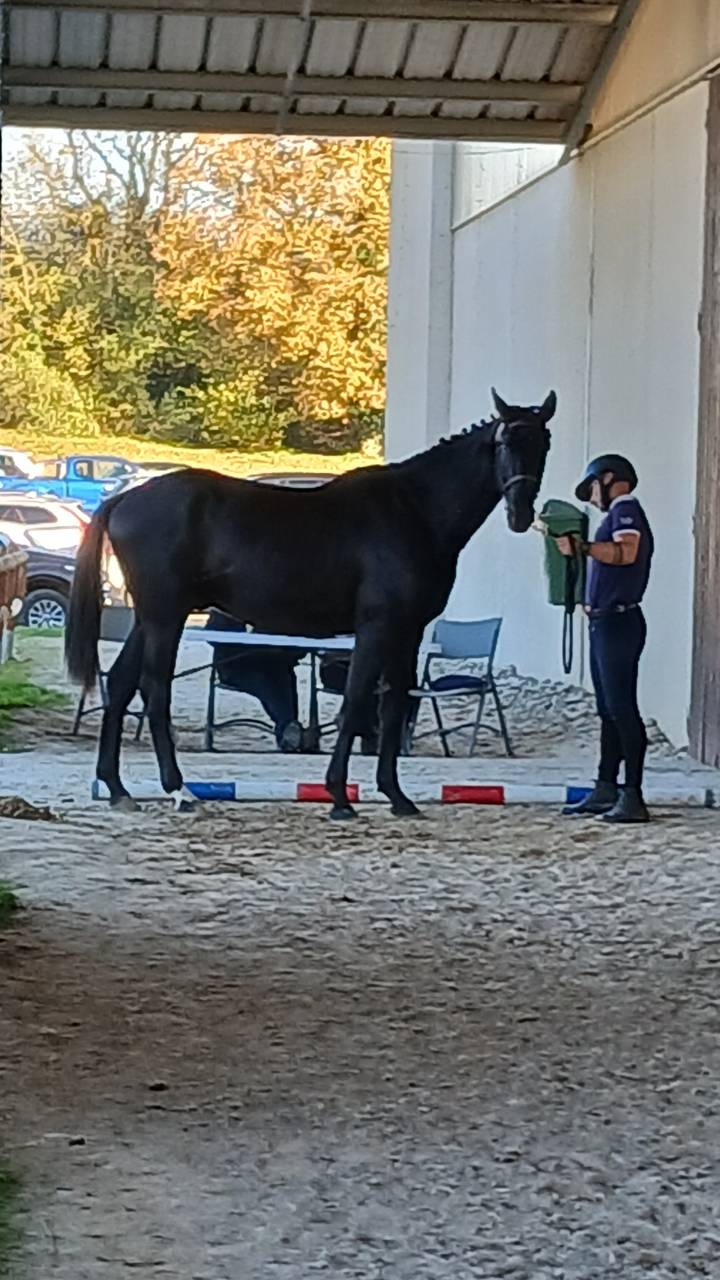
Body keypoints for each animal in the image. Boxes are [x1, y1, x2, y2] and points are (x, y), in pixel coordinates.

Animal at [65, 388, 555, 819]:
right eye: (505, 441)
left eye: (543, 443)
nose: (520, 514)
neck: (414, 510)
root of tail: (123, 498)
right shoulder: (378, 626)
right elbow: (356, 702)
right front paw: (339, 797)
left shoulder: (408, 631)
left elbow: (393, 703)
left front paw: (396, 796)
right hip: (166, 617)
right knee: (154, 690)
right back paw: (181, 792)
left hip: (148, 618)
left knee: (122, 684)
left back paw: (117, 789)